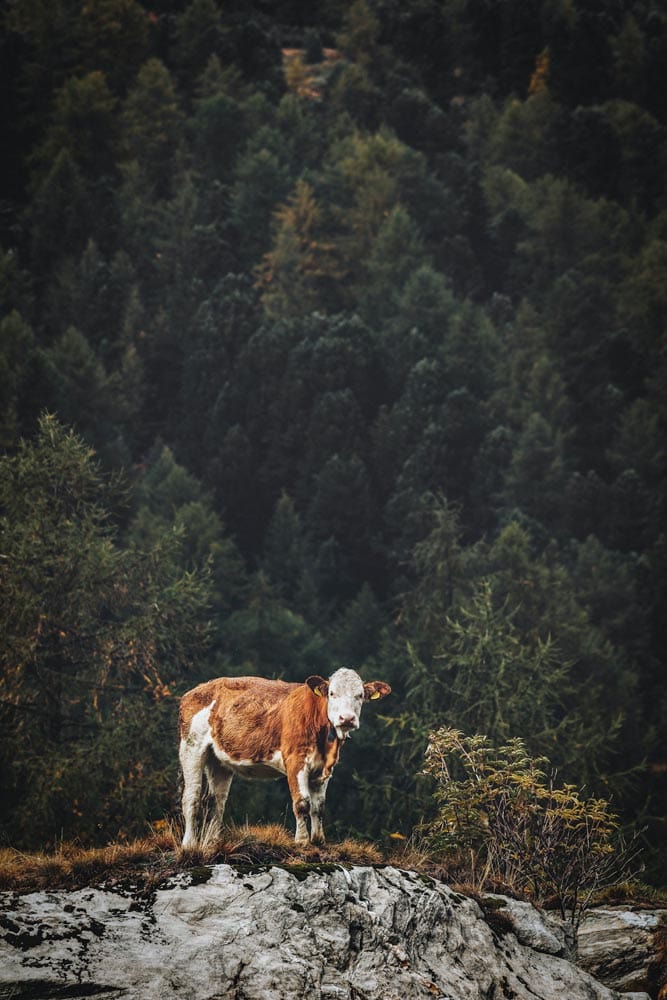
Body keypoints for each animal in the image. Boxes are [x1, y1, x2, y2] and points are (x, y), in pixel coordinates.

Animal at [180, 668, 392, 848]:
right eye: (332, 693)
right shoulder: (295, 760)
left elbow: (319, 806)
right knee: (192, 797)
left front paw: (318, 840)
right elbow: (302, 803)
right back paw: (189, 845)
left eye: (360, 695)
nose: (347, 718)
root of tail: (196, 690)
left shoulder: (325, 768)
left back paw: (211, 843)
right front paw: (302, 841)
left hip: (219, 761)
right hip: (191, 747)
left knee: (216, 801)